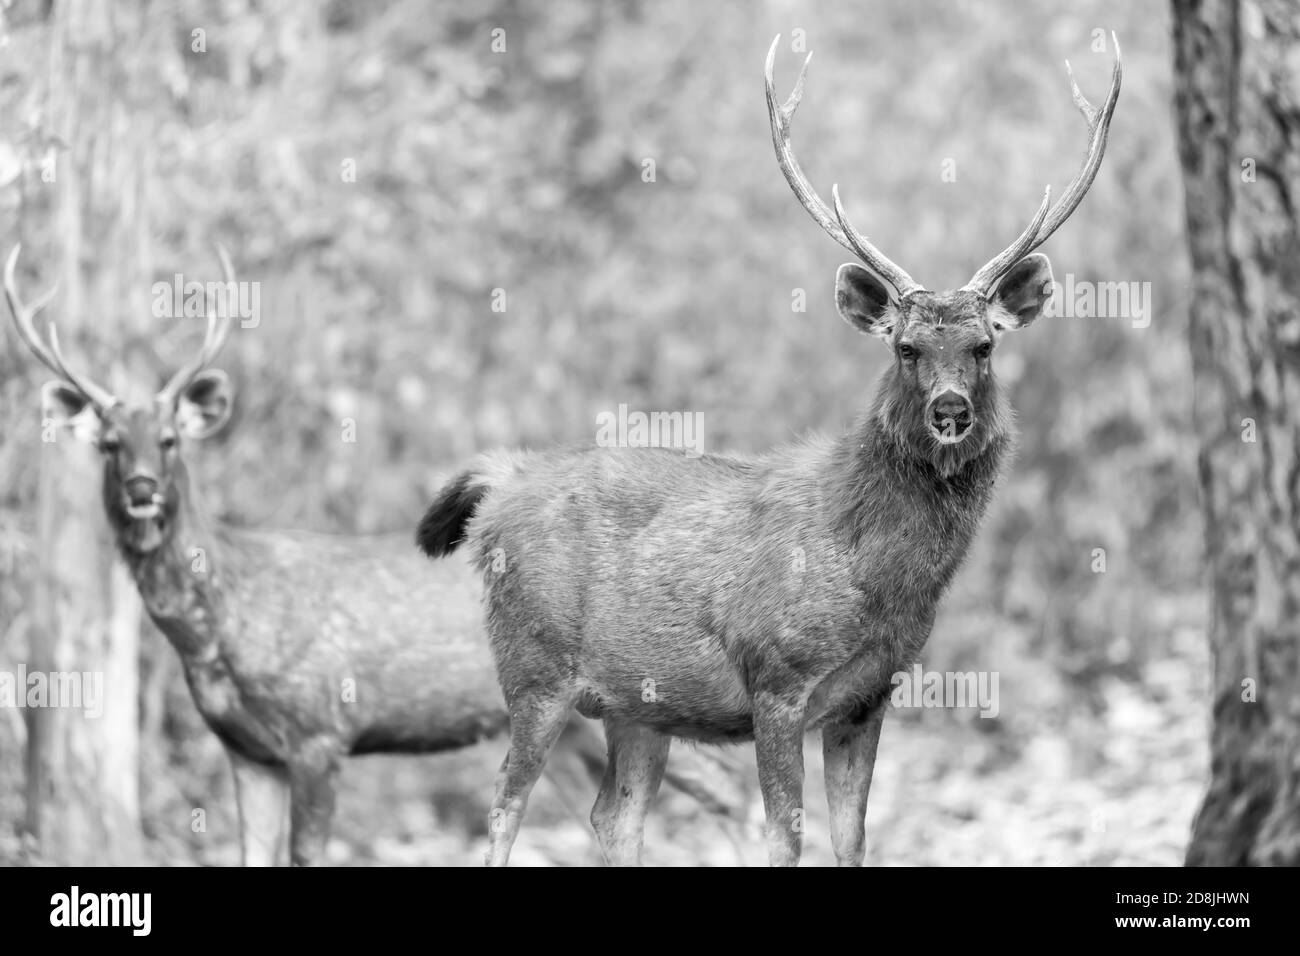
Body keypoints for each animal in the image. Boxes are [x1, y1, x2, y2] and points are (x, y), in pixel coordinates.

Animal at [4, 244, 743, 866]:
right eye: (107, 443)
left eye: (167, 439)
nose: (141, 491)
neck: (222, 628)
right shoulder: (247, 750)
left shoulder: (320, 731)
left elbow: (306, 856)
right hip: (571, 727)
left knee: (727, 793)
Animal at [416, 34, 1121, 867]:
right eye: (907, 348)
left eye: (983, 347)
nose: (949, 409)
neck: (879, 581)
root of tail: (500, 482)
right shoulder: (775, 679)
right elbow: (785, 838)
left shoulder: (868, 697)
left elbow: (853, 842)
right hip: (533, 663)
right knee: (504, 807)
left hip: (637, 703)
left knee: (612, 815)